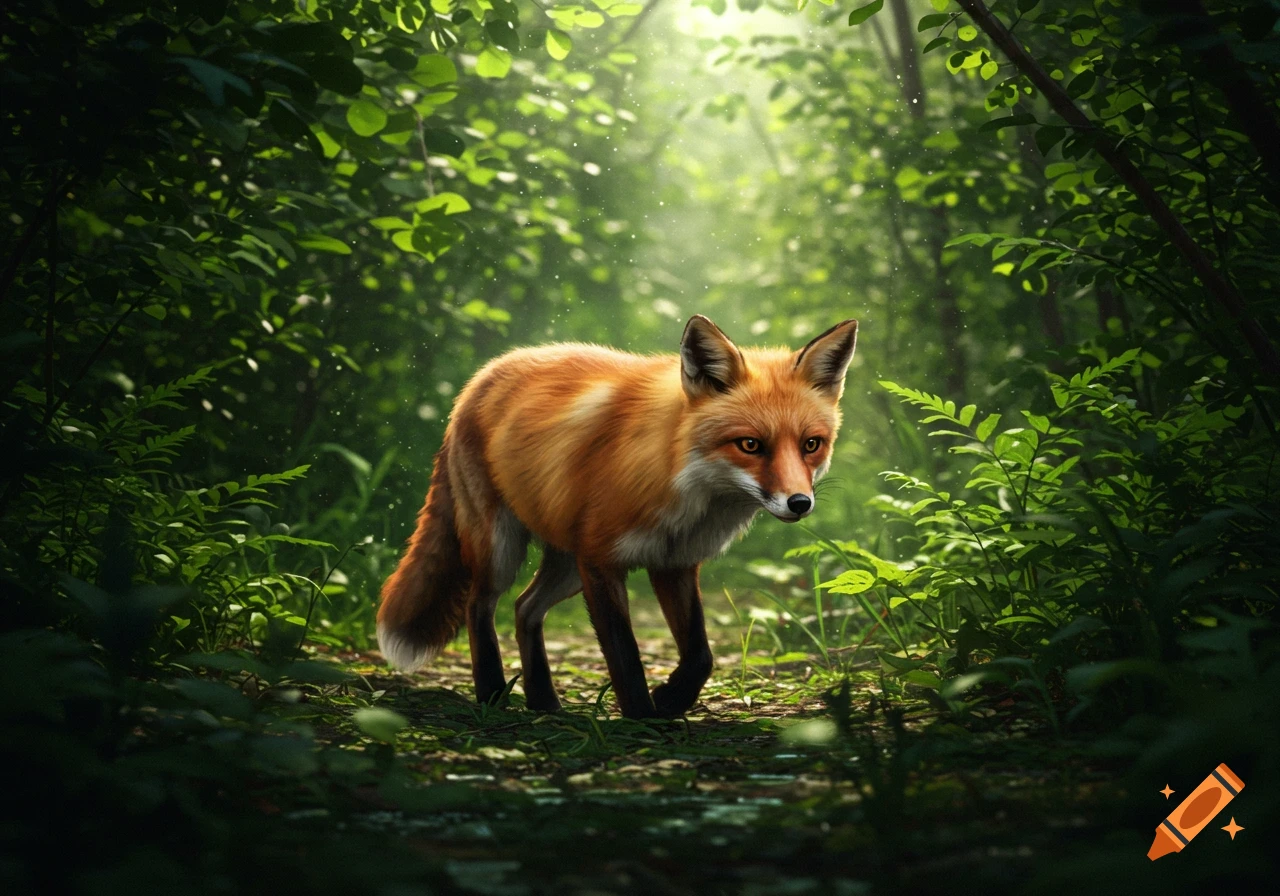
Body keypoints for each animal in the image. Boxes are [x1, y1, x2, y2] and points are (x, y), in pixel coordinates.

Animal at [376, 314, 858, 719]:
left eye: (811, 444)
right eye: (751, 445)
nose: (800, 502)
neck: (680, 479)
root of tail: (481, 375)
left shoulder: (674, 563)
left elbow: (700, 654)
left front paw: (670, 699)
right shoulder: (601, 561)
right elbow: (625, 655)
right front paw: (642, 718)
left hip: (566, 566)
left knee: (524, 608)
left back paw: (544, 702)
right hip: (504, 548)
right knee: (480, 606)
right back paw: (493, 695)